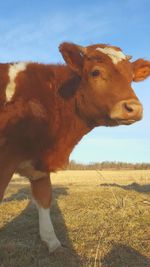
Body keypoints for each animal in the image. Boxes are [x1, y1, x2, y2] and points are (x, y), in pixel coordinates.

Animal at [0, 42, 150, 253]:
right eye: (95, 72)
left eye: (131, 77)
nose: (134, 108)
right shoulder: (5, 160)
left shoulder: (41, 164)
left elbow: (44, 198)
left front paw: (52, 241)